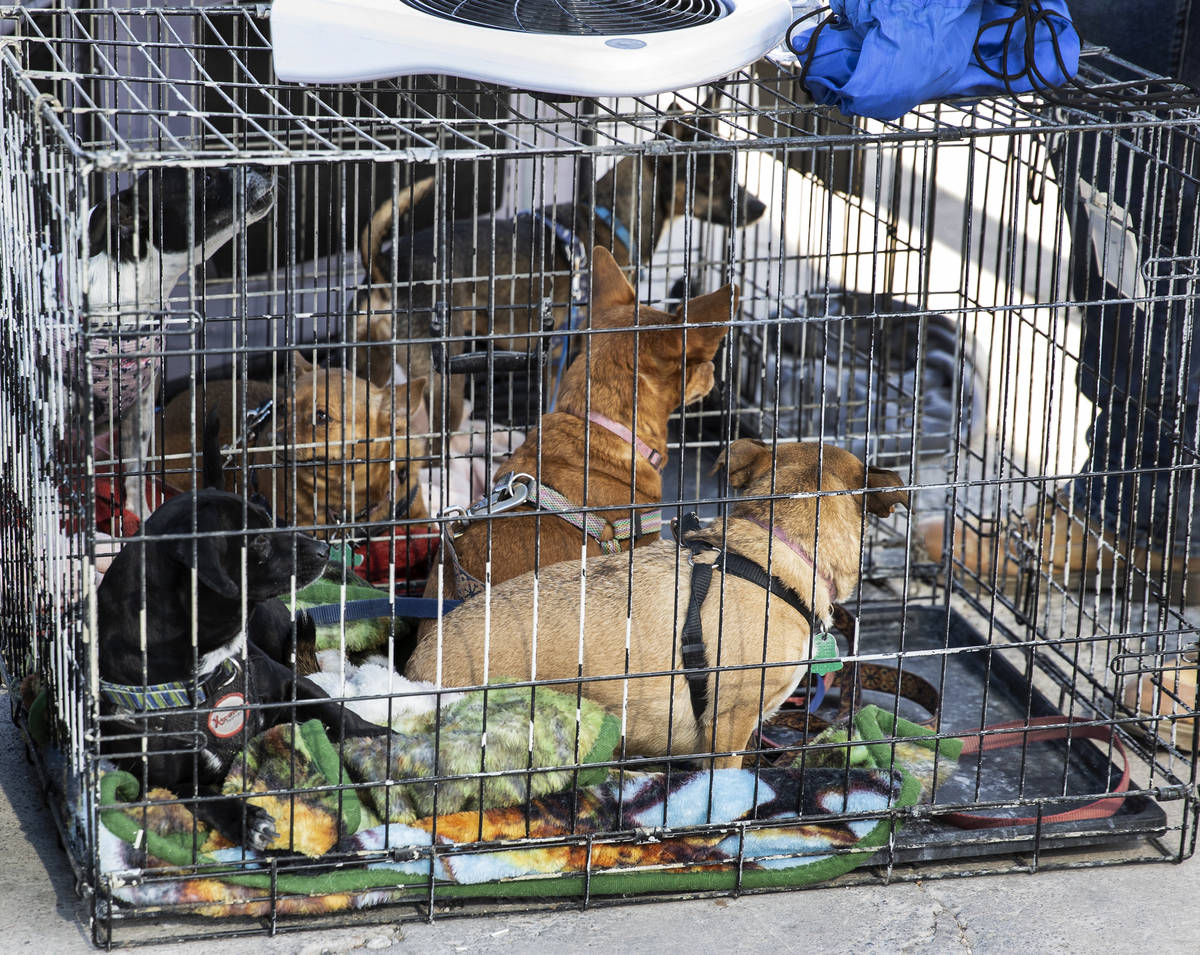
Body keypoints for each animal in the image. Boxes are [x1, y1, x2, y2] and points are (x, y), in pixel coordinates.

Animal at [99, 489, 388, 844]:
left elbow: (340, 714)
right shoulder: (157, 781)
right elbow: (201, 797)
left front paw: (383, 741)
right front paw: (246, 819)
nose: (323, 550)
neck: (207, 675)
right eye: (259, 539)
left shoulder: (287, 682)